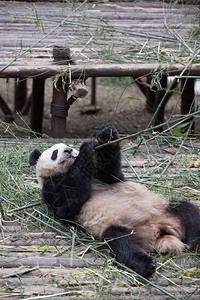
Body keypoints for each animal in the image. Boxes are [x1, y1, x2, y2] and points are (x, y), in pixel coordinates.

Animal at [29, 125, 200, 278]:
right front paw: (85, 152)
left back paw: (196, 241)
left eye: (69, 146)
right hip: (121, 227)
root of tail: (159, 231)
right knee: (122, 243)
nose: (69, 151)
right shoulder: (51, 188)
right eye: (54, 152)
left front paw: (107, 136)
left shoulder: (102, 176)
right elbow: (68, 204)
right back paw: (147, 265)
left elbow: (111, 171)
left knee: (188, 211)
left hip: (163, 208)